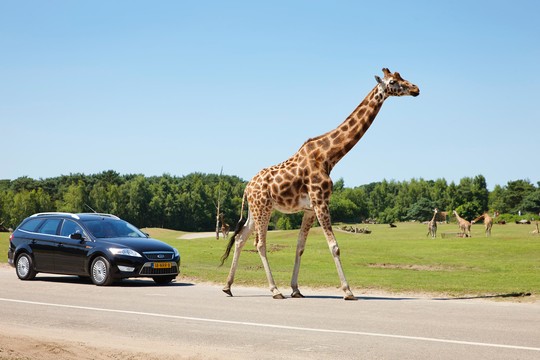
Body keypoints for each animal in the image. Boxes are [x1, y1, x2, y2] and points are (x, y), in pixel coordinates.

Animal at [217, 69, 420, 300]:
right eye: (393, 81)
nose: (416, 89)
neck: (329, 156)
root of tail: (247, 188)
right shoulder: (321, 201)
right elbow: (334, 246)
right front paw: (348, 291)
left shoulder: (309, 209)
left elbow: (300, 246)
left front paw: (296, 289)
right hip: (264, 207)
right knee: (259, 243)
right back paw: (275, 290)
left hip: (255, 209)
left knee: (241, 238)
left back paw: (228, 287)